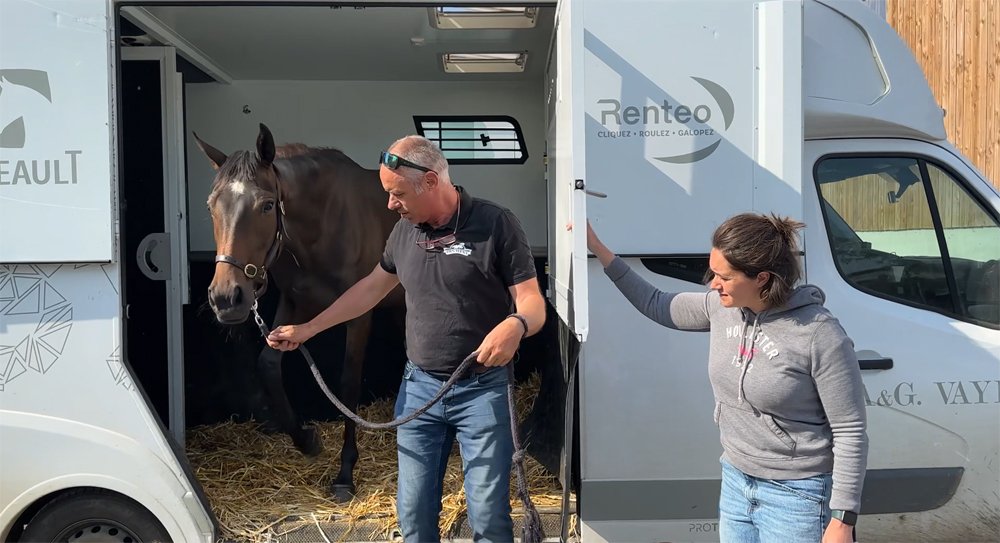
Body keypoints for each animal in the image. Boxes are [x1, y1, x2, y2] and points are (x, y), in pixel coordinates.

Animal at [195, 123, 403, 501]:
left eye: (266, 205)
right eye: (211, 206)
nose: (226, 298)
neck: (321, 226)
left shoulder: (359, 314)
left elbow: (348, 383)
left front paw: (345, 472)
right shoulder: (294, 303)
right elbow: (268, 365)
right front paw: (306, 439)